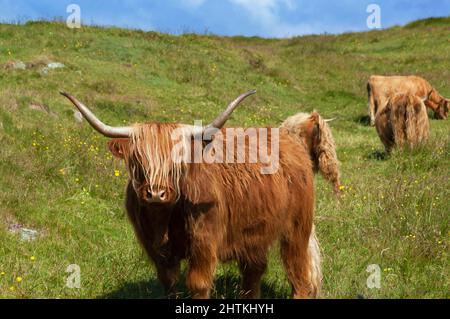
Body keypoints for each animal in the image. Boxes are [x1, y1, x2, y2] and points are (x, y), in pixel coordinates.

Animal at [61, 90, 322, 300]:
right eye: (138, 159)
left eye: (177, 162)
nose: (156, 193)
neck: (164, 220)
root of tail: (291, 139)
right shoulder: (155, 249)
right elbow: (168, 282)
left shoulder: (204, 244)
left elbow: (198, 284)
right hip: (254, 232)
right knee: (254, 271)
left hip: (297, 230)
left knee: (298, 274)